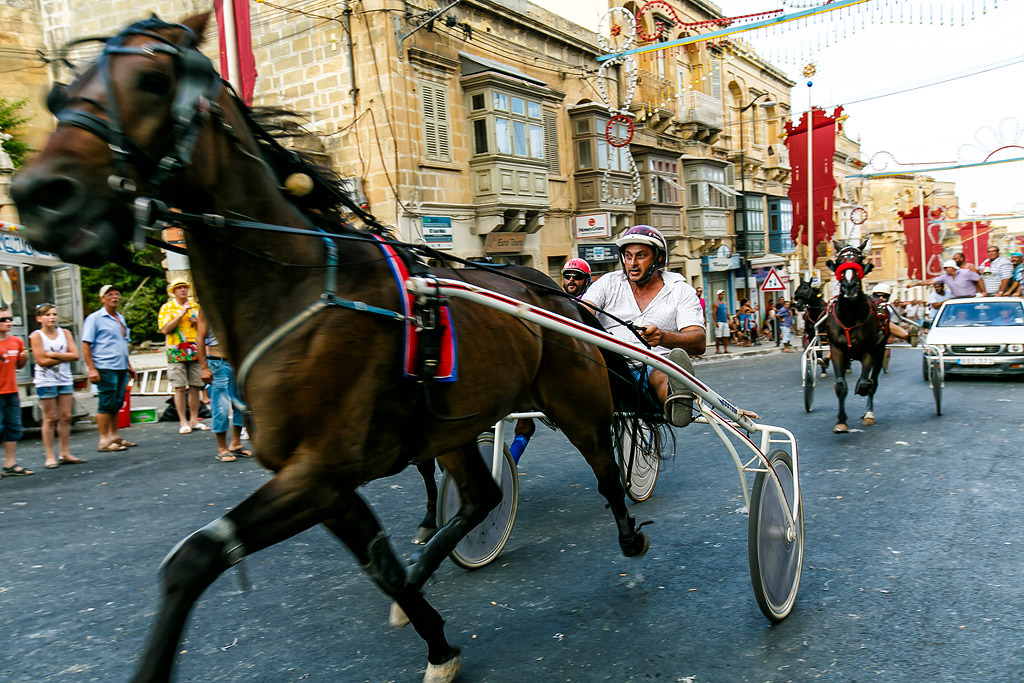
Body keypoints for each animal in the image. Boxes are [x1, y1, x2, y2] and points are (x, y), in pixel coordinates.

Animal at [9, 12, 655, 683]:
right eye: (60, 94)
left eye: (153, 80)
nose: (40, 193)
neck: (295, 290)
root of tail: (553, 291)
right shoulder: (326, 481)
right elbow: (379, 564)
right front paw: (435, 638)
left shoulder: (317, 473)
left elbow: (195, 557)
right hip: (453, 426)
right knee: (482, 497)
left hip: (574, 400)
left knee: (605, 468)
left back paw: (630, 529)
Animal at [823, 240, 888, 432]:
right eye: (840, 260)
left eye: (859, 259)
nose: (849, 287)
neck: (850, 317)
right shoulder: (837, 349)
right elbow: (840, 386)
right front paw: (841, 421)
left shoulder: (869, 350)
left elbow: (866, 382)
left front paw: (862, 390)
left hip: (880, 351)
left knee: (873, 381)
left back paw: (868, 413)